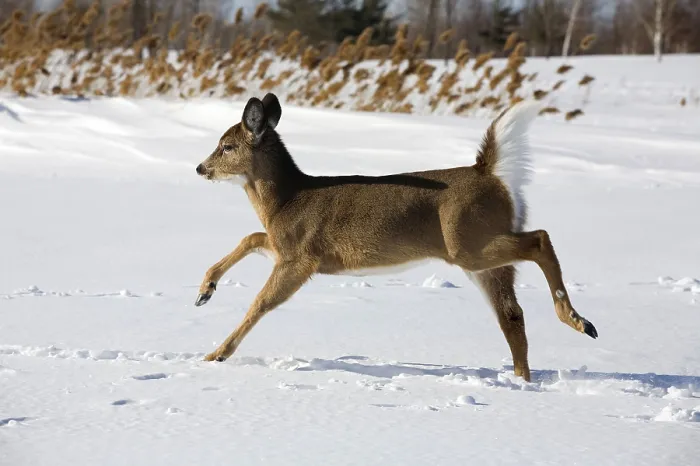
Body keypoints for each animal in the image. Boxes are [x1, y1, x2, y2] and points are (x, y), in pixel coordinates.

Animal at [193, 93, 598, 382]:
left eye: (227, 146)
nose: (200, 168)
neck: (285, 201)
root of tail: (491, 174)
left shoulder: (301, 256)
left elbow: (260, 303)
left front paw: (216, 354)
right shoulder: (282, 245)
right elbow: (250, 237)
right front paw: (204, 291)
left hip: (467, 242)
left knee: (540, 239)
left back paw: (575, 319)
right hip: (481, 255)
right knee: (512, 314)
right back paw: (526, 377)